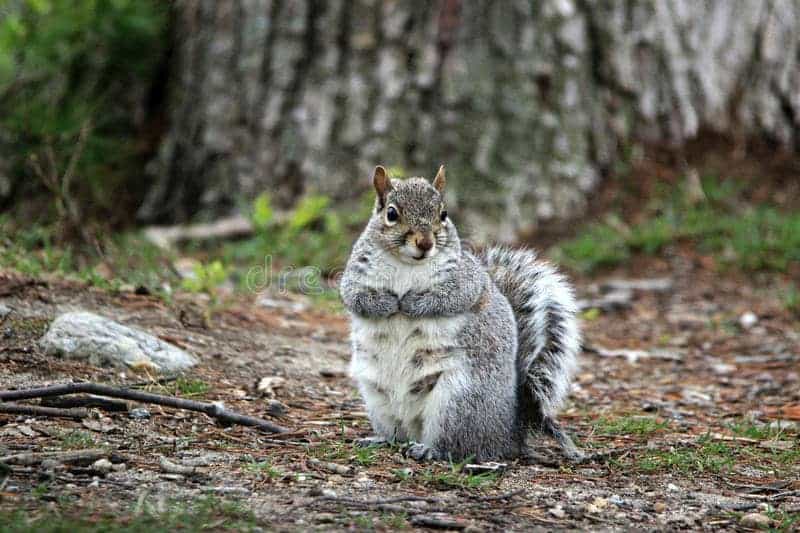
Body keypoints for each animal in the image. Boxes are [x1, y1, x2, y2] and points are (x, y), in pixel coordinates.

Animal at [340, 166, 580, 462]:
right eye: (392, 214)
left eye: (443, 214)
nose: (425, 243)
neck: (407, 265)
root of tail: (509, 433)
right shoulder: (355, 275)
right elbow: (355, 297)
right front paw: (386, 303)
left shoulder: (467, 279)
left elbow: (452, 297)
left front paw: (412, 303)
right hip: (377, 398)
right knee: (398, 434)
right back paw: (381, 440)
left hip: (457, 401)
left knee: (457, 446)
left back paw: (428, 449)